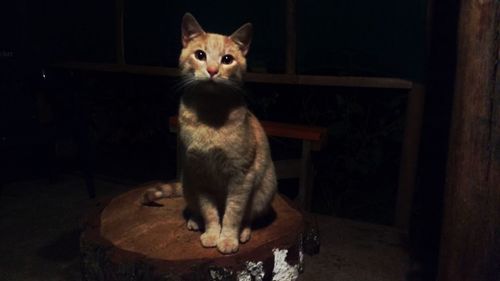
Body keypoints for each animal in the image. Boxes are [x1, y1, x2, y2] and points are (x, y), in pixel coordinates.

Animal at [143, 12, 278, 254]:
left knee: (250, 216)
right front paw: (213, 233)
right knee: (195, 207)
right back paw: (194, 221)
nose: (213, 71)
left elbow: (233, 214)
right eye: (200, 55)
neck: (210, 116)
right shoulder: (199, 174)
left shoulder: (241, 176)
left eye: (227, 59)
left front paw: (228, 238)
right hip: (187, 182)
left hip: (266, 188)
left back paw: (244, 232)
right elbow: (210, 212)